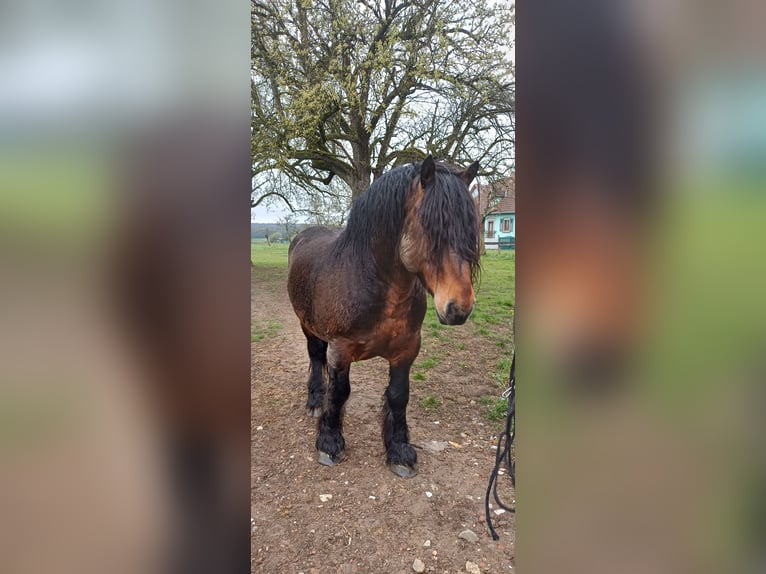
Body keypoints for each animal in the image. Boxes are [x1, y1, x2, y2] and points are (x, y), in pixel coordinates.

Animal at [287, 155, 481, 478]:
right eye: (431, 227)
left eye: (471, 228)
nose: (459, 308)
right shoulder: (340, 351)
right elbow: (339, 392)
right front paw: (329, 443)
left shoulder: (406, 351)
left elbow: (398, 395)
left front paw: (400, 451)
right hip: (307, 325)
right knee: (315, 356)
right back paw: (315, 401)